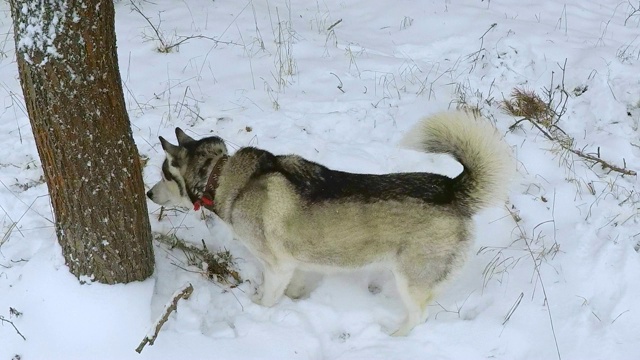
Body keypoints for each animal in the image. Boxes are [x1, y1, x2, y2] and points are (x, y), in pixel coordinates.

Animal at [148, 111, 512, 336]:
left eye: (164, 174)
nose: (149, 194)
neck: (221, 175)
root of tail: (452, 188)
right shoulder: (293, 263)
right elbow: (292, 287)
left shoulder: (276, 265)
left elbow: (267, 298)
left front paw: (259, 311)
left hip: (411, 279)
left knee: (418, 316)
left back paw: (394, 338)